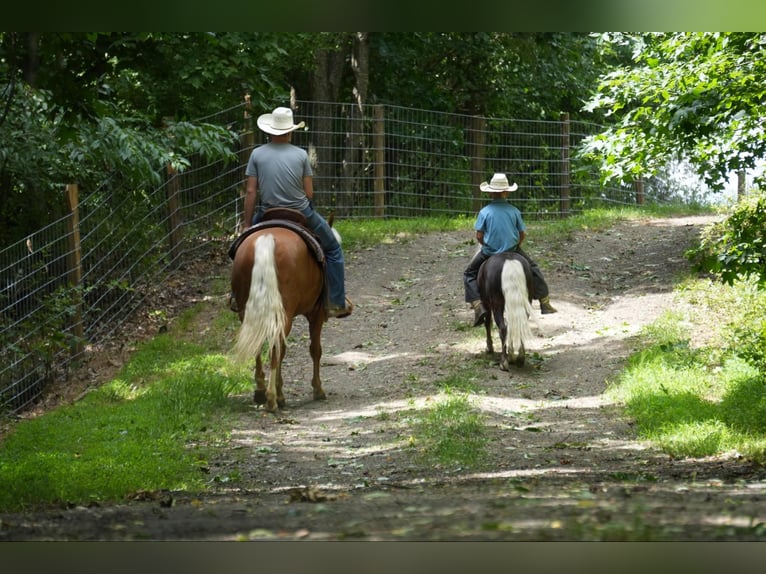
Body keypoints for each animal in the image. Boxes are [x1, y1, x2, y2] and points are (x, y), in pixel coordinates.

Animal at [228, 212, 336, 414]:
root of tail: (266, 239)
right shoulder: (316, 314)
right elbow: (315, 350)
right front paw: (317, 389)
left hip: (248, 311)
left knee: (259, 344)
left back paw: (261, 391)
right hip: (284, 314)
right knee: (275, 347)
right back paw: (272, 398)